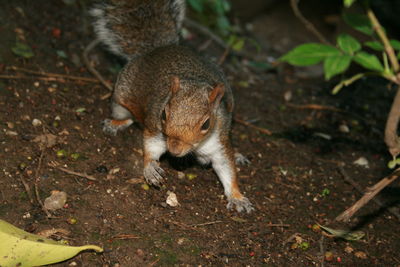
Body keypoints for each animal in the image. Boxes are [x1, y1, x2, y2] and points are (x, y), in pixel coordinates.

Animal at [90, 0, 253, 214]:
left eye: (206, 124)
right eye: (164, 115)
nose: (174, 150)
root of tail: (160, 47)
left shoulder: (218, 141)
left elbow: (226, 168)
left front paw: (238, 197)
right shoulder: (156, 128)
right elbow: (151, 147)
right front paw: (150, 169)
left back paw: (239, 154)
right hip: (120, 98)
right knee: (127, 116)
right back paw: (115, 123)